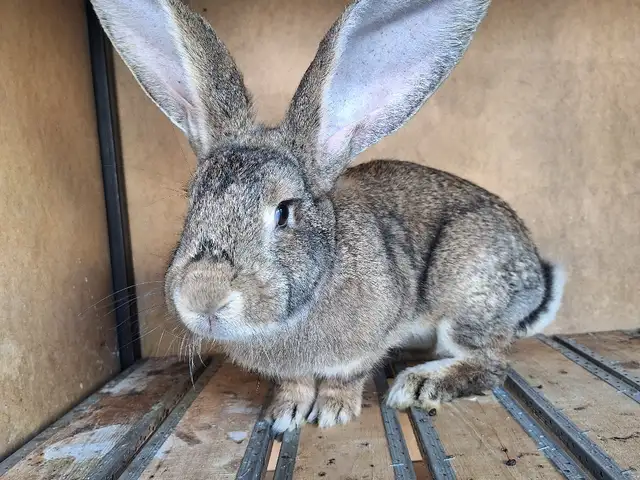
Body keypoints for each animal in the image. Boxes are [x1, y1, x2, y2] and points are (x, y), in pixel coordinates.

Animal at [91, 0, 566, 433]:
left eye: (283, 212)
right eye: (192, 201)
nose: (202, 296)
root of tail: (536, 280)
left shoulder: (366, 343)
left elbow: (346, 377)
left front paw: (333, 412)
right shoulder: (293, 368)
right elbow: (297, 383)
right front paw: (285, 415)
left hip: (467, 291)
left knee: (489, 363)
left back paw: (417, 385)